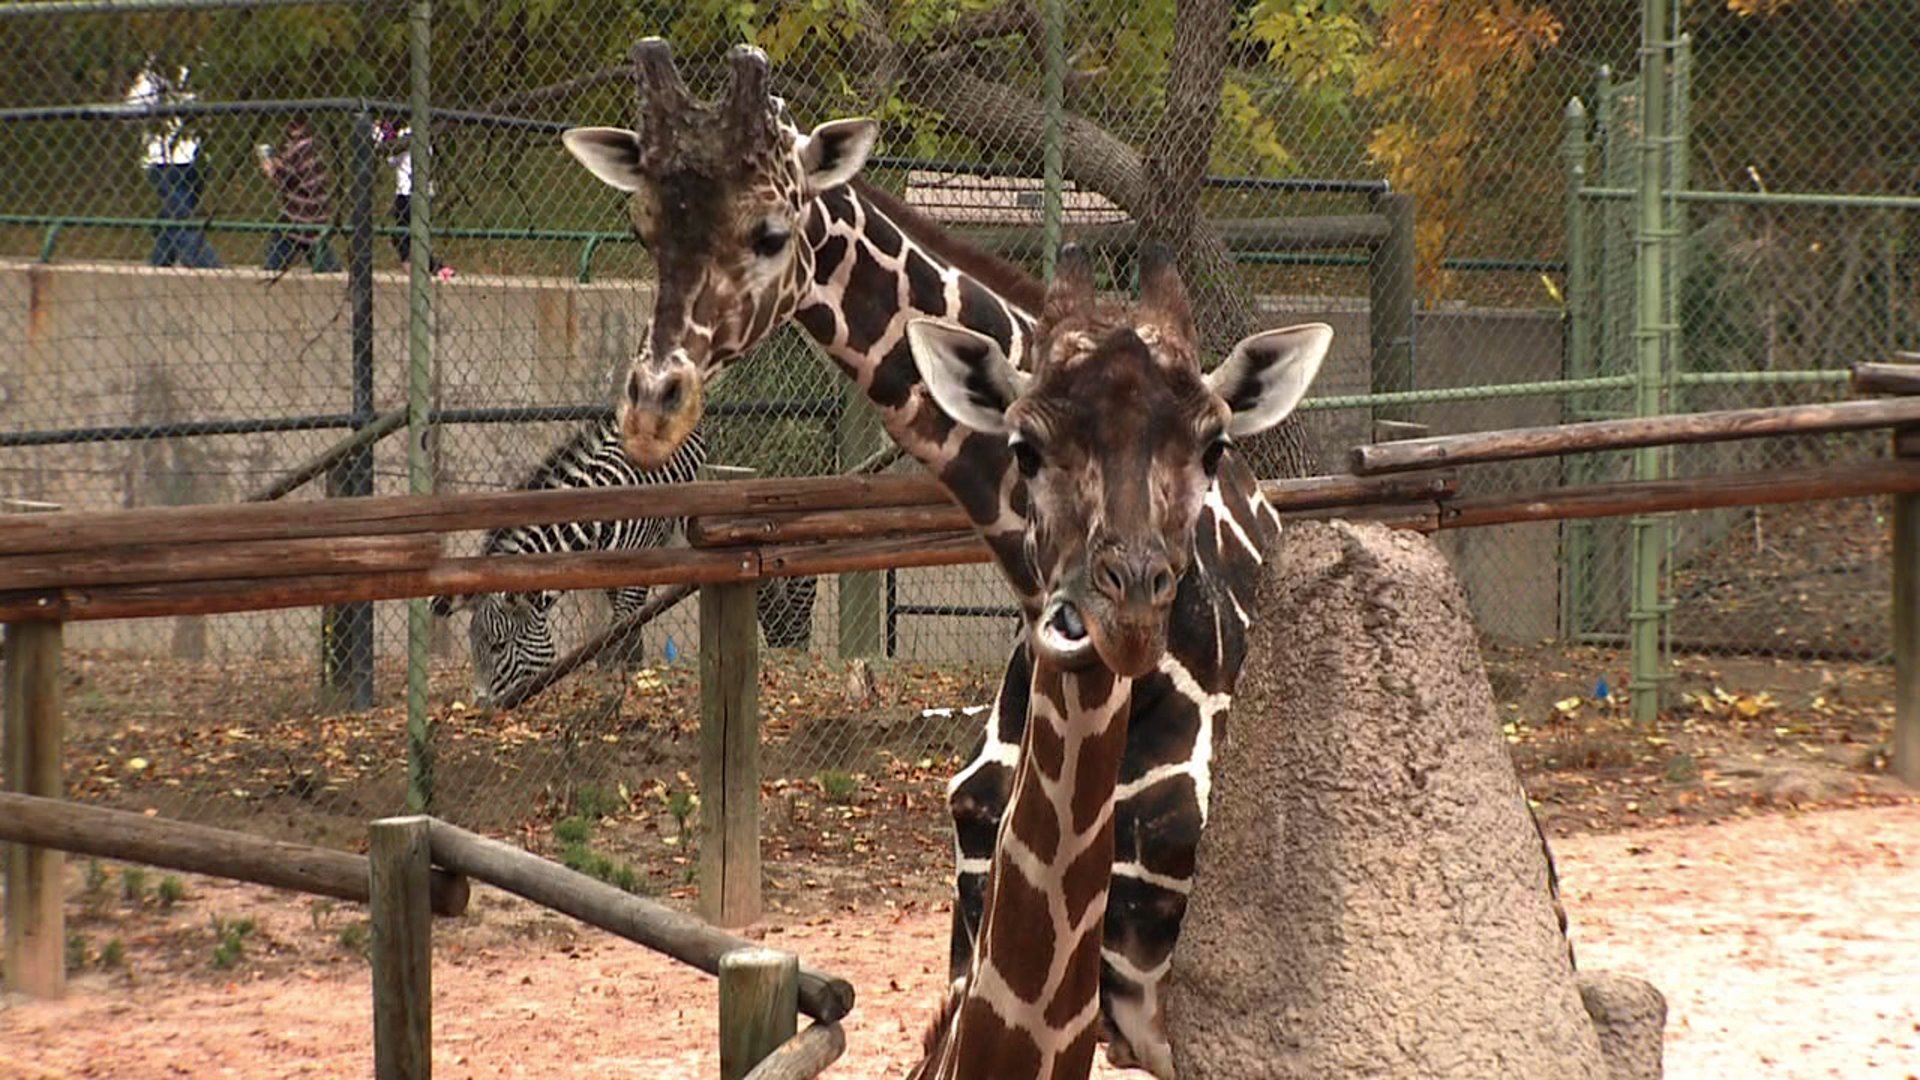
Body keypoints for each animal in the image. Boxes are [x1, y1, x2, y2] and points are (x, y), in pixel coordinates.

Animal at [433, 413, 706, 707]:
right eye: (473, 645)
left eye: (499, 646)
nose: (483, 706)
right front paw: (617, 670)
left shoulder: (639, 566)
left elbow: (624, 623)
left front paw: (626, 678)